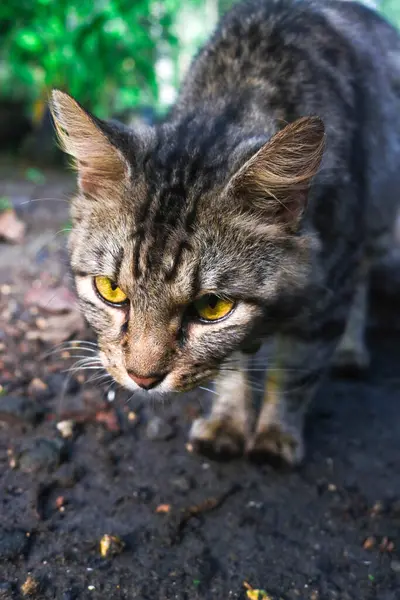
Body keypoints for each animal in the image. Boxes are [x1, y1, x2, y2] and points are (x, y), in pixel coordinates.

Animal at [50, 0, 400, 466]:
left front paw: (275, 434)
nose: (143, 379)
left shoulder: (332, 274)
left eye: (212, 307)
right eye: (110, 290)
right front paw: (227, 423)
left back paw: (350, 349)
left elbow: (296, 372)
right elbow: (232, 369)